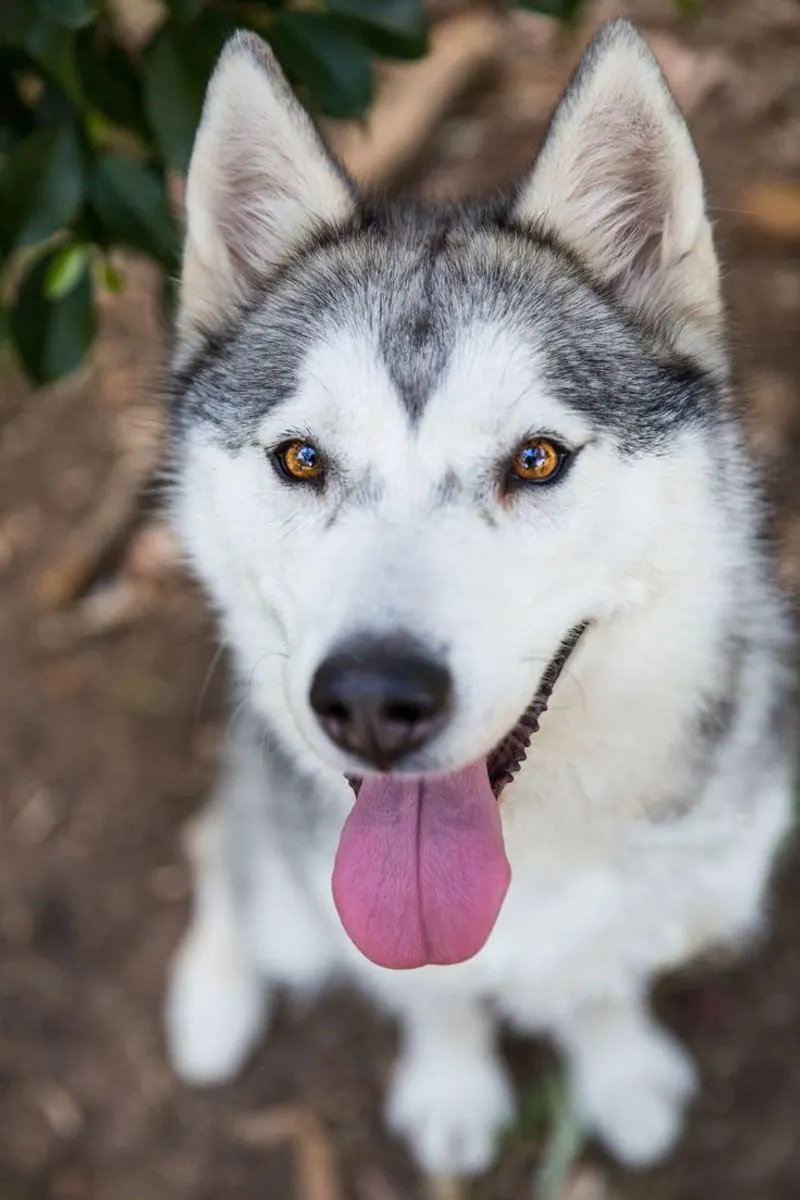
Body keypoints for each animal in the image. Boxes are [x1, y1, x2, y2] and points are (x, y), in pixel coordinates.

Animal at [160, 18, 796, 1180]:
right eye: (302, 458)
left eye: (535, 459)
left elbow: (601, 977)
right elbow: (432, 999)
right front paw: (451, 1084)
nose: (372, 699)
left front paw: (617, 1071)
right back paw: (213, 1000)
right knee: (218, 846)